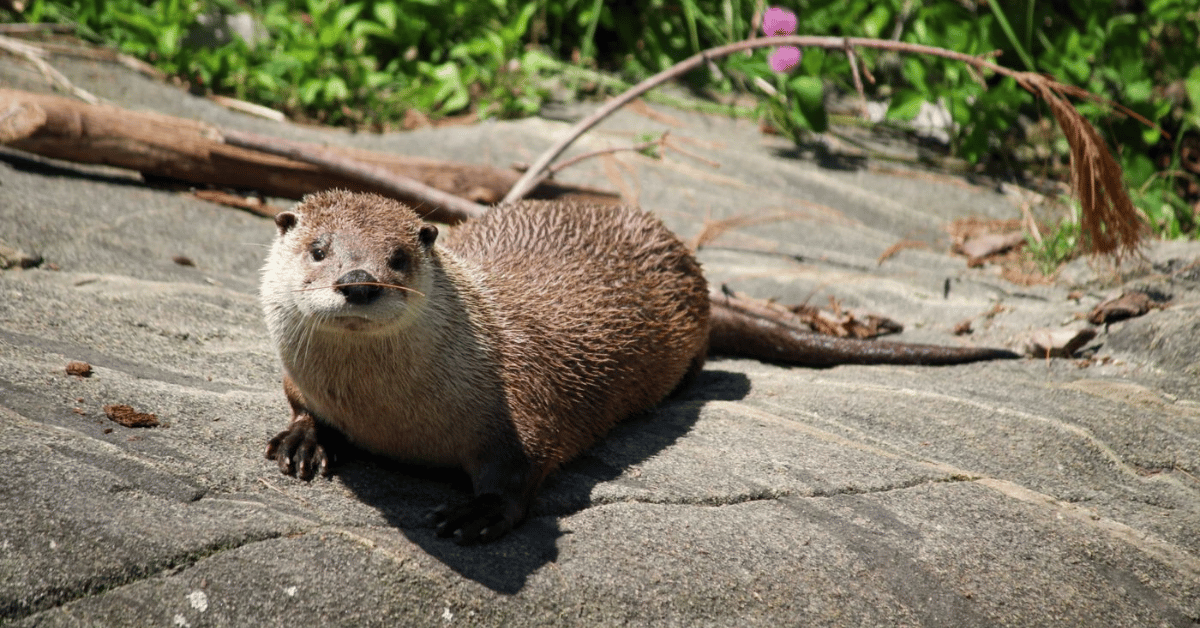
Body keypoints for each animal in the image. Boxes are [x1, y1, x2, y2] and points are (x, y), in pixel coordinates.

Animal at [260, 189, 1012, 542]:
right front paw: (302, 440)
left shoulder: (519, 405)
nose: (359, 281)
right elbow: (297, 399)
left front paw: (476, 513)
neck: (386, 415)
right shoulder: (303, 379)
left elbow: (524, 468)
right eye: (321, 248)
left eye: (399, 257)